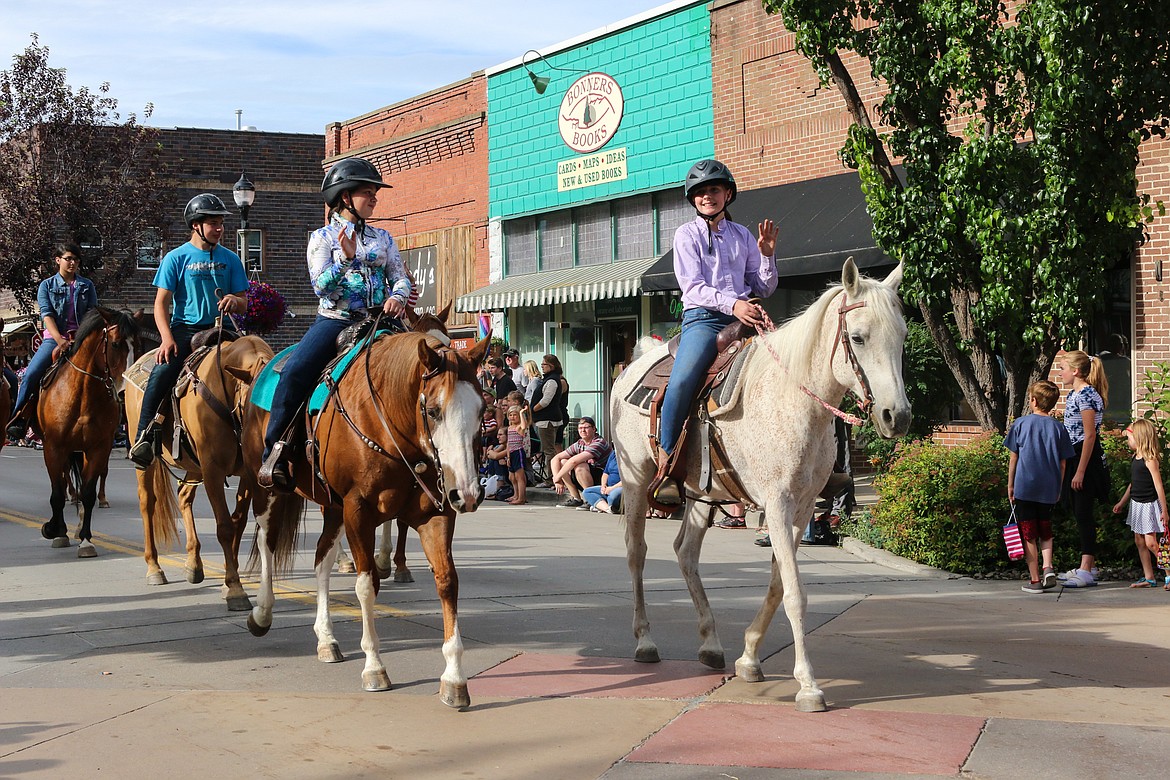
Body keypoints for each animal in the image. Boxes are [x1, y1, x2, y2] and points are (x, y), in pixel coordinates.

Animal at [35, 308, 141, 558]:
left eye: (138, 344)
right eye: (115, 343)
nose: (125, 393)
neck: (82, 396)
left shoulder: (98, 448)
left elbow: (89, 492)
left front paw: (85, 539)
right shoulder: (53, 448)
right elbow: (57, 493)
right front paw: (55, 530)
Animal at [122, 332, 273, 608]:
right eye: (254, 405)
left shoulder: (246, 474)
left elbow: (237, 523)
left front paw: (228, 581)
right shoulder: (212, 470)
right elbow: (224, 527)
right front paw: (235, 589)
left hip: (194, 464)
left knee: (183, 496)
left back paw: (193, 565)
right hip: (148, 461)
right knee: (147, 504)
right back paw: (154, 568)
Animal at [242, 327, 489, 706]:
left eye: (482, 409)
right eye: (433, 411)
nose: (469, 493)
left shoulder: (436, 513)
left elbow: (447, 582)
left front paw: (454, 677)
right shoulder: (358, 510)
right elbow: (366, 585)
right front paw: (374, 667)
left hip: (332, 508)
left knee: (322, 559)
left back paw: (326, 639)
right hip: (268, 488)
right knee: (266, 542)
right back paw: (262, 612)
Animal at [608, 257, 907, 715]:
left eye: (904, 336)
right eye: (857, 337)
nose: (898, 416)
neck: (794, 400)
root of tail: (637, 362)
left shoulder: (802, 507)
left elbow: (779, 583)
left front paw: (749, 657)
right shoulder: (778, 504)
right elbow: (795, 593)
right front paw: (808, 686)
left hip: (703, 493)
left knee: (685, 552)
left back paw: (711, 643)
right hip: (636, 480)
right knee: (636, 553)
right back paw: (645, 640)